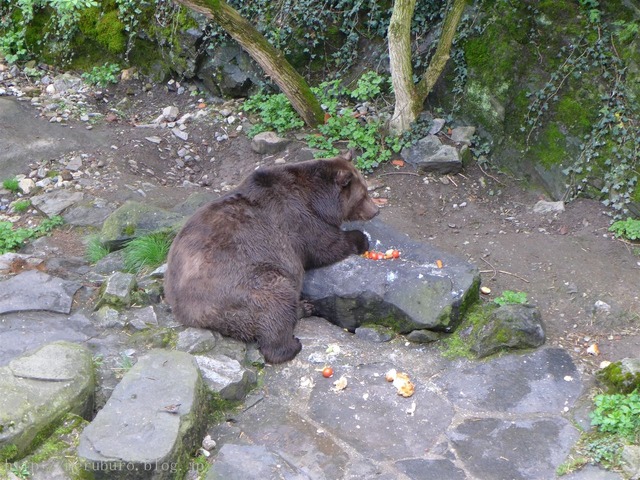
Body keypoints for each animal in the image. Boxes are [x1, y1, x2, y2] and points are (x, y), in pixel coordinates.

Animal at [162, 154, 380, 364]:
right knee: (276, 302)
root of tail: (190, 315)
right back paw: (291, 344)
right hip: (245, 288)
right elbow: (325, 245)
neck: (316, 199)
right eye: (363, 194)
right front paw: (361, 238)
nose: (376, 210)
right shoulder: (297, 219)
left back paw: (305, 307)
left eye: (366, 189)